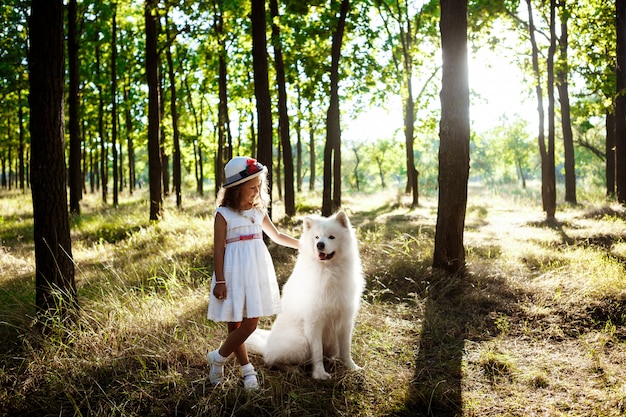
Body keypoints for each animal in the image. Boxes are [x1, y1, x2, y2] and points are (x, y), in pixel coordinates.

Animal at [244, 211, 360, 376]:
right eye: (317, 237)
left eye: (331, 237)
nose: (319, 245)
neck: (329, 271)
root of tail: (266, 346)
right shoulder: (314, 322)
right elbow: (317, 352)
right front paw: (320, 374)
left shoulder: (345, 321)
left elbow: (346, 350)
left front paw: (352, 367)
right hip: (301, 342)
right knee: (271, 360)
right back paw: (293, 369)